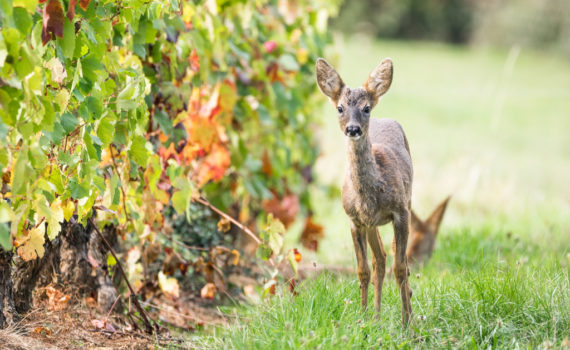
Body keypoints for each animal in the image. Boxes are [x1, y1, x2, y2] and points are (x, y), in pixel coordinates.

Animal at [316, 56, 412, 326]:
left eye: (366, 108)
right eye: (339, 108)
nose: (353, 129)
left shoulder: (401, 212)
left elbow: (400, 268)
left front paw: (407, 324)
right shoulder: (355, 219)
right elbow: (363, 270)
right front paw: (362, 316)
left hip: (408, 201)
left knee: (397, 261)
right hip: (371, 225)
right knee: (379, 259)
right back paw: (376, 317)